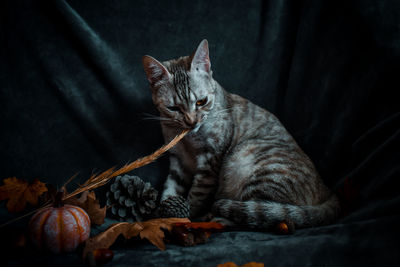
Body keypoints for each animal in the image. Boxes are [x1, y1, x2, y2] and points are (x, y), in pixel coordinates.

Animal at [142, 39, 340, 230]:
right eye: (173, 108)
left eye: (201, 101)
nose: (192, 122)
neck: (188, 141)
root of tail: (327, 190)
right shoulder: (177, 160)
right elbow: (170, 189)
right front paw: (164, 215)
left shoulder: (210, 161)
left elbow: (197, 195)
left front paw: (188, 216)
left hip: (253, 164)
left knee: (262, 215)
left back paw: (214, 219)